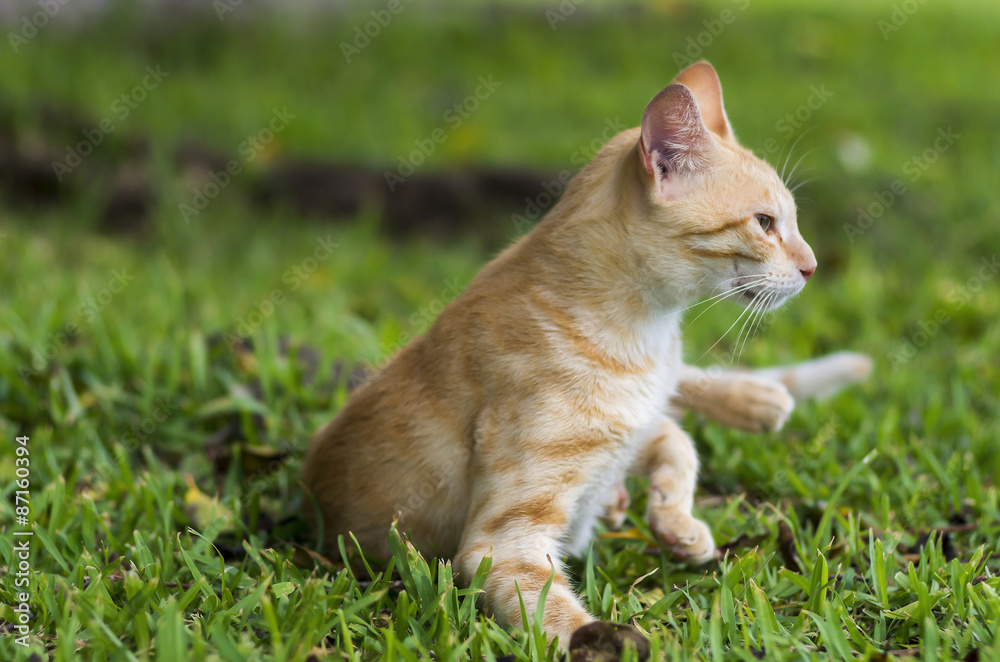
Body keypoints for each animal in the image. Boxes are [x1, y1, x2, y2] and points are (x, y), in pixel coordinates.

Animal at [303, 61, 871, 649]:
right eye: (764, 223)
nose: (812, 267)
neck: (648, 337)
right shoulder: (503, 545)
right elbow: (561, 618)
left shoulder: (632, 427)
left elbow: (678, 444)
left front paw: (676, 524)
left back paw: (755, 400)